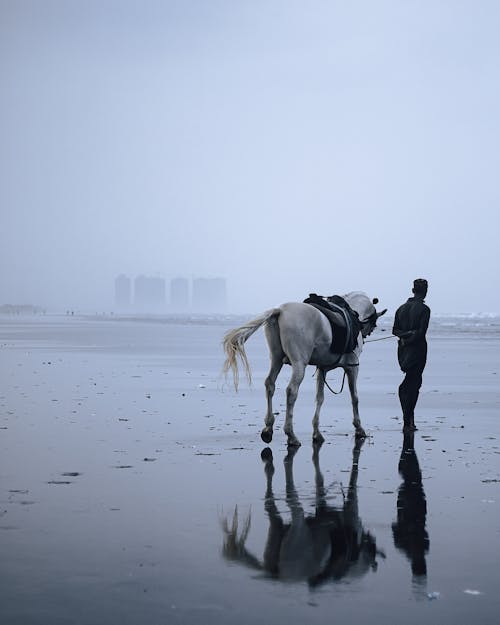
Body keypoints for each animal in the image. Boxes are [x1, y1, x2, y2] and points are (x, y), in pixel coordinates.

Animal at [223, 290, 386, 446]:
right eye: (374, 324)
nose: (366, 335)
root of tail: (280, 310)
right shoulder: (352, 368)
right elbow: (355, 398)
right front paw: (359, 428)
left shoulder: (322, 369)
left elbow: (320, 398)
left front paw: (317, 432)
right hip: (299, 364)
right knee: (291, 391)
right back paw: (290, 434)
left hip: (276, 359)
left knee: (270, 384)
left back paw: (268, 428)